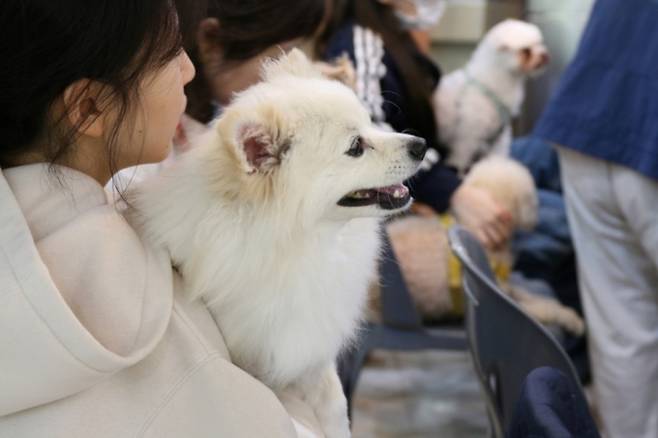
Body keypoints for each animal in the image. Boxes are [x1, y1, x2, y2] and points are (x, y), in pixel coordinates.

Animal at [129, 48, 426, 438]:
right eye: (356, 147)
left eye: (371, 123)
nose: (421, 145)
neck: (301, 247)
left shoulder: (310, 343)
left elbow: (335, 403)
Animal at [430, 19, 548, 175]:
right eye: (526, 51)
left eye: (540, 43)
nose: (545, 55)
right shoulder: (467, 136)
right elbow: (460, 158)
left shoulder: (499, 137)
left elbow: (498, 158)